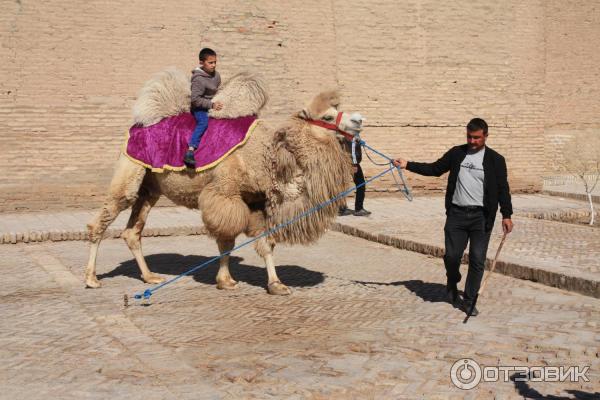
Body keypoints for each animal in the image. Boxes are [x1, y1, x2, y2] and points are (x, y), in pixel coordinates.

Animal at [84, 69, 366, 294]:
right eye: (327, 117)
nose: (358, 119)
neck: (264, 155)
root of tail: (136, 126)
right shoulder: (224, 193)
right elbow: (226, 239)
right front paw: (226, 281)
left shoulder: (256, 201)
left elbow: (265, 243)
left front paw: (276, 284)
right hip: (129, 171)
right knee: (103, 219)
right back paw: (91, 279)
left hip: (150, 188)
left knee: (133, 231)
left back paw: (149, 277)